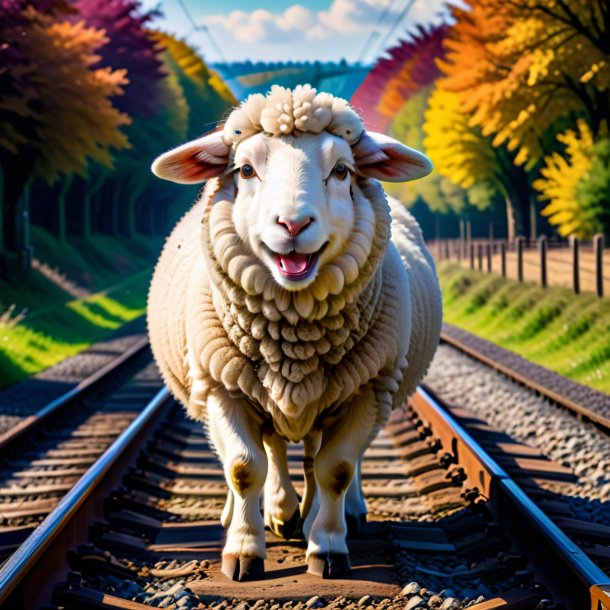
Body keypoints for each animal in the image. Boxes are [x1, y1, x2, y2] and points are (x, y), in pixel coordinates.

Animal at [147, 84, 442, 580]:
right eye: (245, 170)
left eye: (341, 170)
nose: (293, 224)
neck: (295, 339)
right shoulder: (222, 387)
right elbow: (244, 467)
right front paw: (243, 552)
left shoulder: (366, 390)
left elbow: (336, 469)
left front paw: (327, 548)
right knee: (272, 452)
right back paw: (272, 514)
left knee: (319, 459)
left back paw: (330, 515)